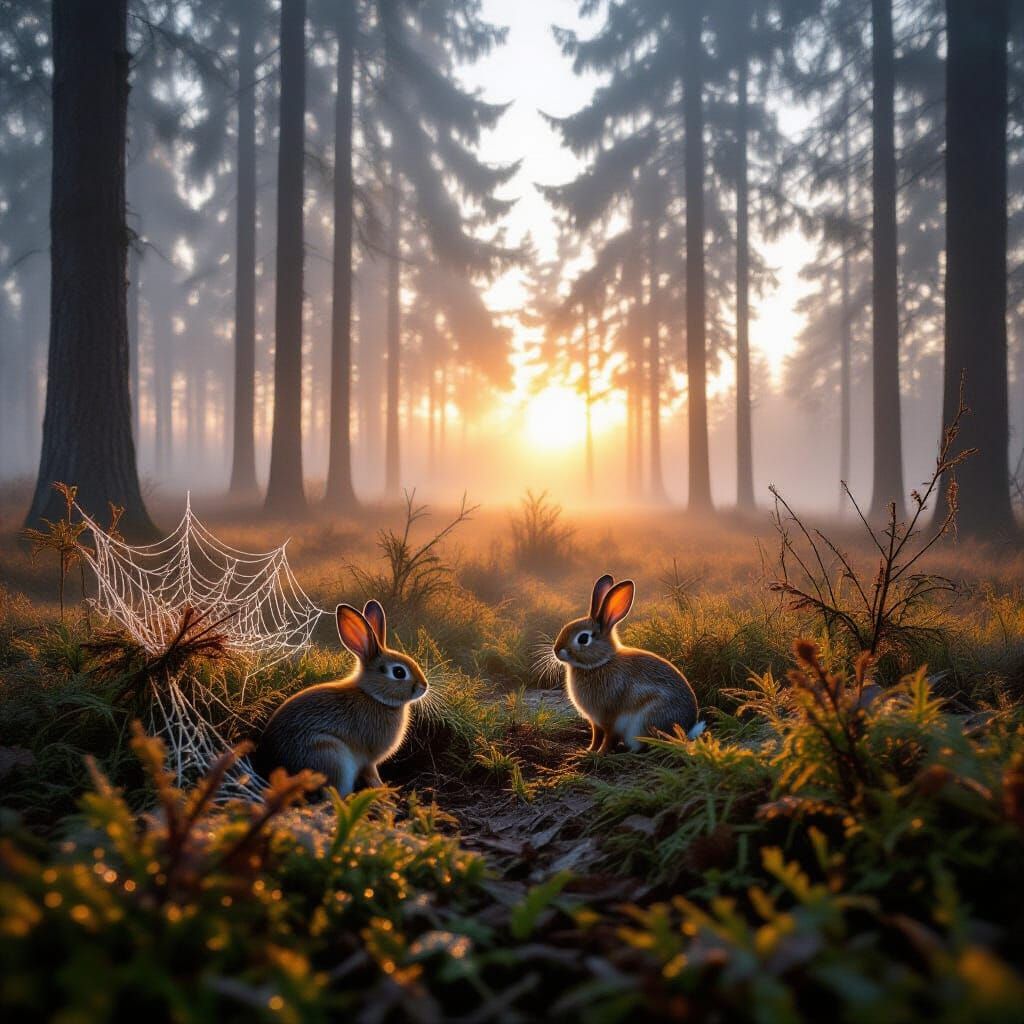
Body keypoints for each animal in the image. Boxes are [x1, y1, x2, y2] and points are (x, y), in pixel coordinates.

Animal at [253, 600, 428, 795]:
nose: (424, 686)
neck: (373, 695)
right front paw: (384, 790)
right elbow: (372, 774)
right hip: (331, 757)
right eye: (399, 672)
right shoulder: (368, 760)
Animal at [553, 574, 705, 753]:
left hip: (644, 723)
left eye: (583, 638)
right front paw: (588, 751)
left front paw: (600, 753)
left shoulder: (609, 718)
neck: (601, 663)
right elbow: (596, 736)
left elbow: (609, 737)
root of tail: (685, 731)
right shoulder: (595, 722)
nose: (556, 650)